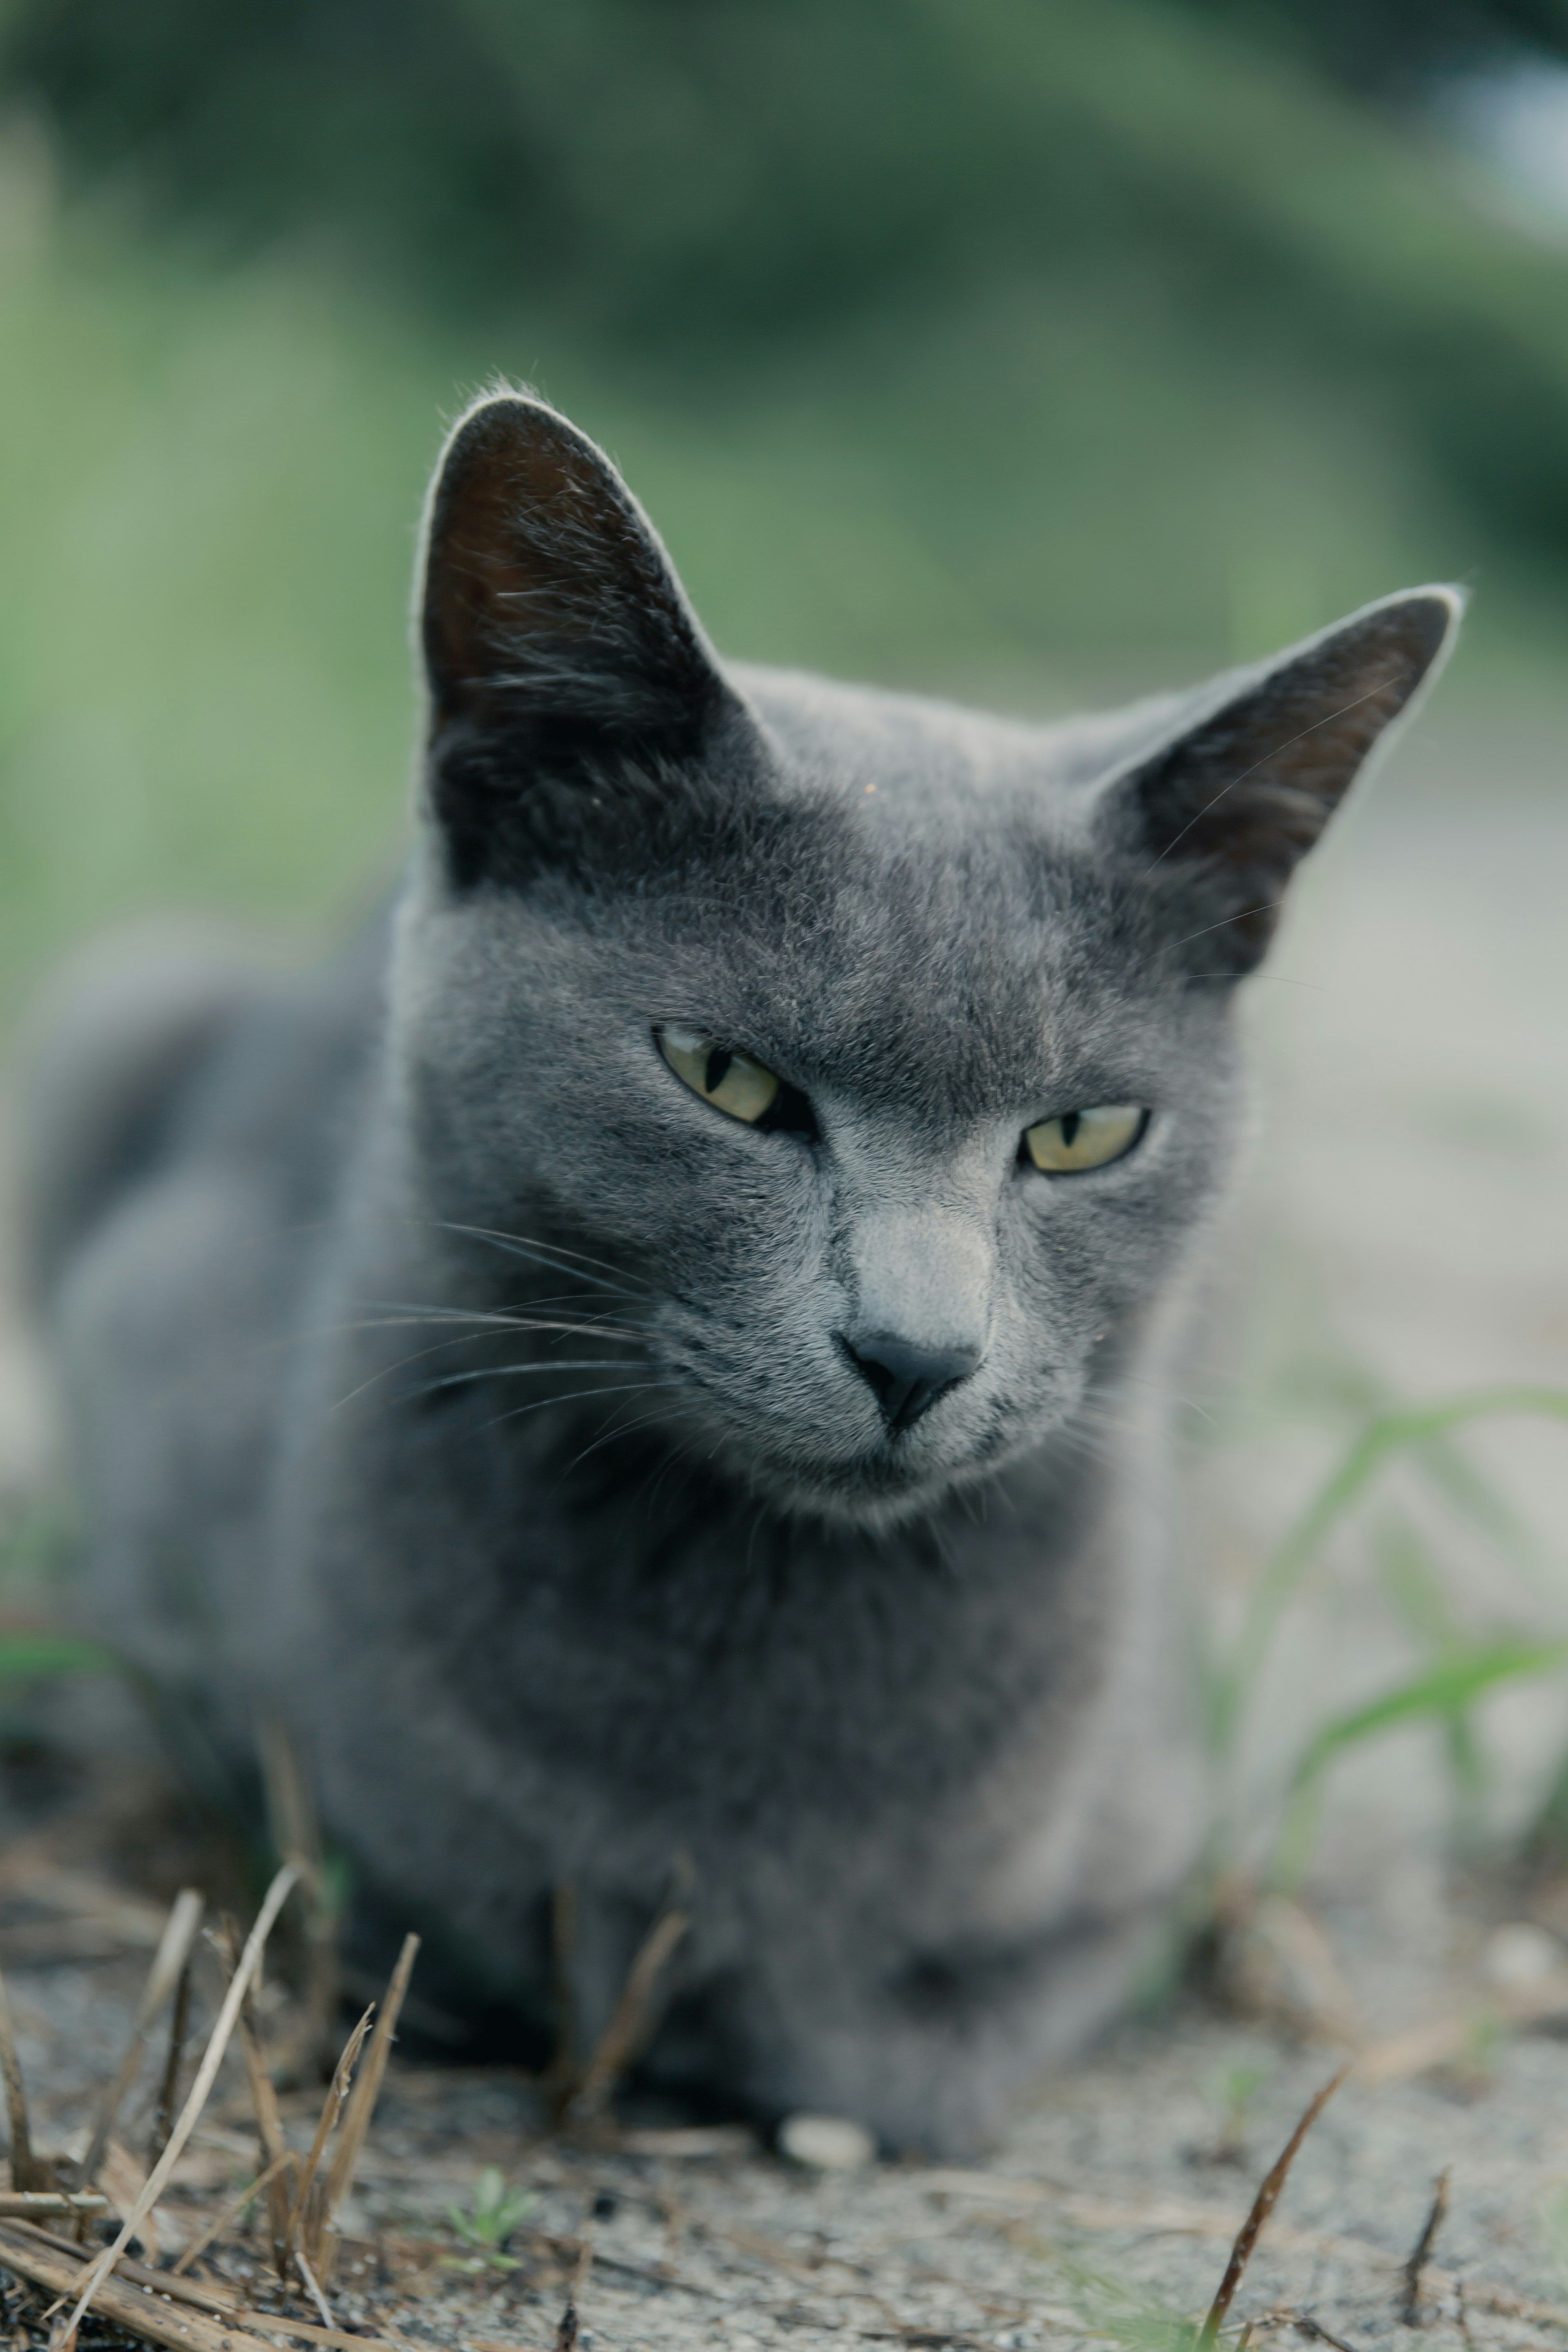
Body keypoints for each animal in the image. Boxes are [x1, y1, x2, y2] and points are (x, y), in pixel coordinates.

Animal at [24, 395, 1457, 2154]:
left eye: (1081, 1135)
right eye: (725, 1077)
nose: (916, 1354)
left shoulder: (1156, 1838)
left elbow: (915, 2042)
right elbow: (373, 1876)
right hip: (116, 1008)